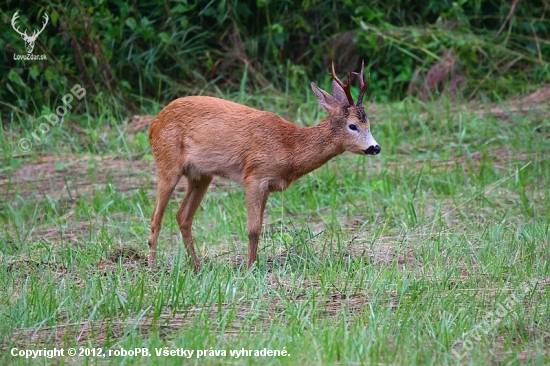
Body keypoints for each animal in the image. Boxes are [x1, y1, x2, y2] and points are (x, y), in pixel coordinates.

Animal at [148, 61, 380, 270]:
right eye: (353, 126)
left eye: (369, 124)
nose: (375, 148)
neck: (289, 147)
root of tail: (154, 123)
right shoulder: (254, 175)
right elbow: (253, 229)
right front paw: (250, 268)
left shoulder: (268, 184)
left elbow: (260, 226)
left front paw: (254, 264)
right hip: (167, 163)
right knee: (156, 218)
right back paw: (152, 267)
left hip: (201, 175)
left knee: (183, 216)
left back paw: (197, 266)